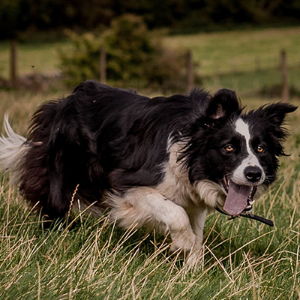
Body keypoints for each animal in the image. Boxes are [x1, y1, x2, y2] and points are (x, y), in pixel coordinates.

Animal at [0, 81, 296, 264]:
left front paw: (192, 269)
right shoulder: (128, 184)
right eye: (229, 147)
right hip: (63, 165)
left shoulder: (192, 198)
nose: (254, 174)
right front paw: (183, 243)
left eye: (260, 148)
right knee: (52, 198)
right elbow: (175, 214)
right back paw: (53, 234)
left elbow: (197, 229)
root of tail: (61, 103)